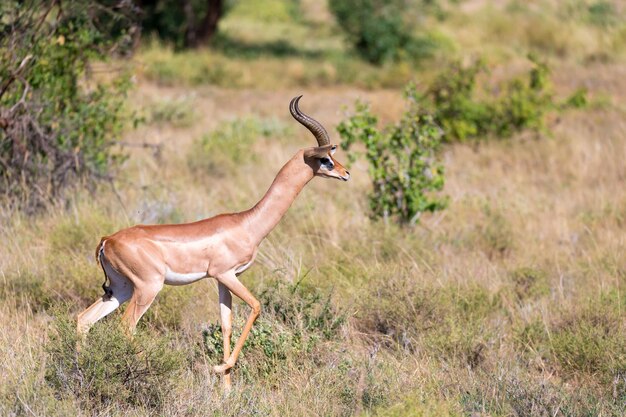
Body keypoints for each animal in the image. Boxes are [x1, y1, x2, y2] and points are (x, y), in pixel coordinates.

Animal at [75, 96, 348, 388]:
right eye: (325, 159)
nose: (346, 173)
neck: (247, 223)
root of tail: (107, 240)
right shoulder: (226, 273)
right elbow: (256, 306)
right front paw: (220, 368)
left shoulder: (222, 280)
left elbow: (226, 324)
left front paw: (226, 390)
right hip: (147, 288)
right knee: (126, 326)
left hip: (121, 288)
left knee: (84, 320)